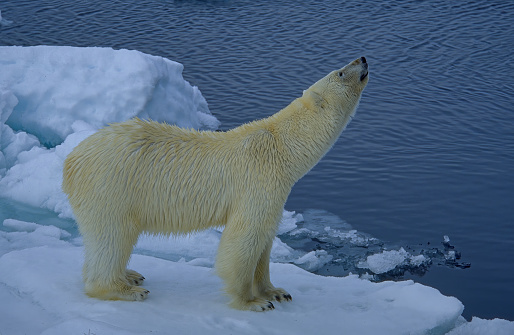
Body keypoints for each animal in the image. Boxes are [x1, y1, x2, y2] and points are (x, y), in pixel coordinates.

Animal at [62, 57, 368, 312]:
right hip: (111, 188)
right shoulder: (258, 181)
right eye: (341, 72)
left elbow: (265, 239)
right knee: (112, 237)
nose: (363, 58)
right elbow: (244, 239)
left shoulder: (277, 189)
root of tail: (72, 160)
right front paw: (253, 302)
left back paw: (131, 275)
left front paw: (276, 292)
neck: (282, 148)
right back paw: (124, 288)